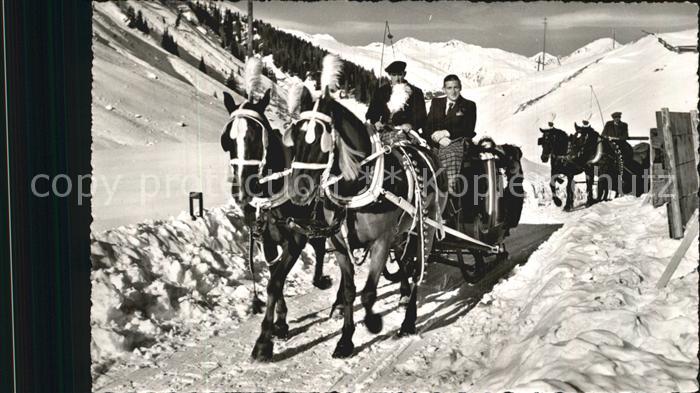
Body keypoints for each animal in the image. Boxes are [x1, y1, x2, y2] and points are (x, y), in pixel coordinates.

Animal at [220, 89, 332, 362]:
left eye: (256, 137)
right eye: (227, 140)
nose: (241, 190)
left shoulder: (295, 240)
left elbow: (275, 283)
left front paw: (263, 341)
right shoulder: (266, 240)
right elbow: (274, 277)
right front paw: (280, 324)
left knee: (322, 247)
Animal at [280, 86, 448, 358]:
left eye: (321, 139)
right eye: (295, 136)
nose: (297, 191)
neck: (356, 186)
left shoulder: (381, 241)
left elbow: (369, 292)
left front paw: (373, 322)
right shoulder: (339, 241)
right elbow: (350, 291)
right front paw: (345, 340)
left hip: (427, 228)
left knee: (416, 271)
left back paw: (408, 322)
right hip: (402, 232)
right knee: (405, 263)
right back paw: (403, 295)